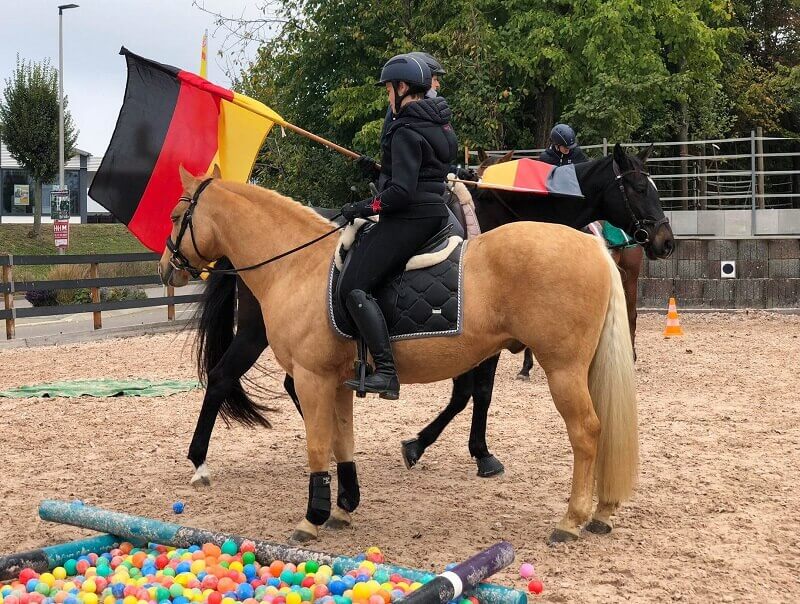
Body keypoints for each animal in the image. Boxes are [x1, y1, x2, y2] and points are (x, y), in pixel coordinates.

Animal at [159, 145, 672, 544]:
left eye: (177, 214)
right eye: (638, 187)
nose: (166, 266)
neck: (297, 262)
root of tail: (591, 249)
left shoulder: (314, 376)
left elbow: (322, 442)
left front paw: (313, 517)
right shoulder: (337, 380)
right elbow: (342, 438)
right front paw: (345, 504)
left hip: (564, 368)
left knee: (587, 430)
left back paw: (572, 519)